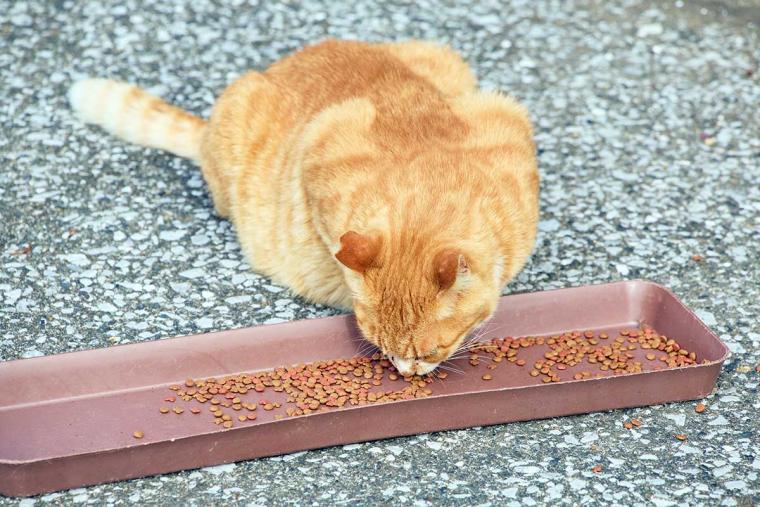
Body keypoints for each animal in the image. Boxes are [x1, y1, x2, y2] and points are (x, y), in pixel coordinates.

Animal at [68, 38, 536, 378]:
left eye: (433, 349)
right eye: (378, 344)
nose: (405, 373)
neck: (428, 184)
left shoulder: (509, 121)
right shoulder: (321, 147)